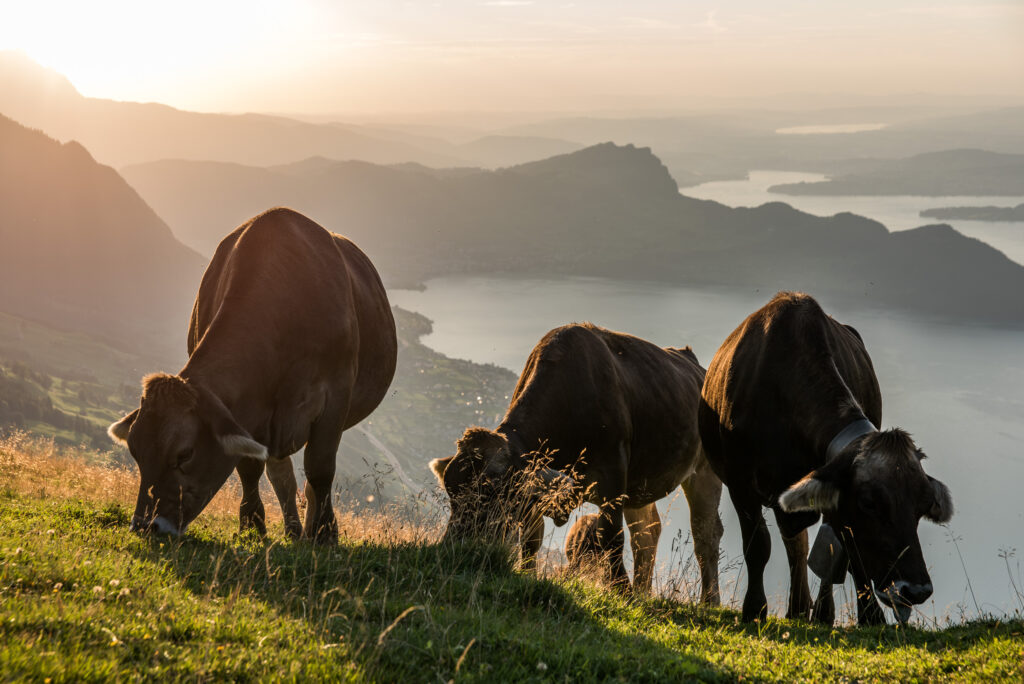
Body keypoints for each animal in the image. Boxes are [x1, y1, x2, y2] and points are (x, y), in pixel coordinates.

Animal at [108, 207, 397, 543]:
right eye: (136, 451)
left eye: (185, 454)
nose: (146, 525)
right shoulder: (249, 411)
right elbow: (249, 467)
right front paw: (252, 524)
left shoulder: (335, 395)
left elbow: (320, 469)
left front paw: (325, 533)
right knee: (281, 474)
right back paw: (294, 529)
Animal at [430, 323, 723, 599]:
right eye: (451, 493)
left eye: (489, 493)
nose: (455, 550)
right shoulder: (535, 492)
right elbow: (531, 538)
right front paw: (527, 575)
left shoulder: (612, 477)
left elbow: (611, 536)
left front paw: (621, 591)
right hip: (640, 484)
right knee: (646, 534)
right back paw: (642, 593)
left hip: (705, 471)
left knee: (705, 535)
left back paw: (708, 601)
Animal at [698, 292, 953, 625]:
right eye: (869, 502)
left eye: (923, 505)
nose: (915, 590)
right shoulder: (740, 485)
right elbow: (758, 547)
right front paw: (754, 610)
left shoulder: (834, 496)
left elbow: (844, 554)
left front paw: (866, 617)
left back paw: (809, 609)